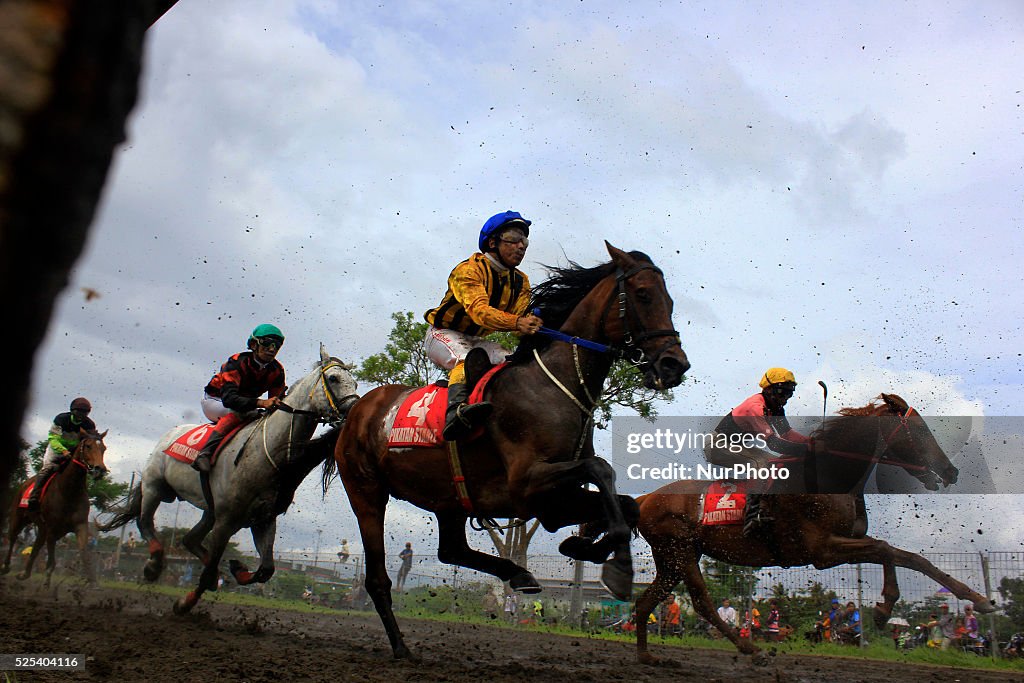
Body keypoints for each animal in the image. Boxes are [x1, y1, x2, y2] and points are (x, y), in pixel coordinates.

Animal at [1, 432, 108, 589]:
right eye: (88, 446)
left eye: (104, 448)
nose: (100, 469)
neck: (69, 491)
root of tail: (25, 484)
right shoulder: (52, 529)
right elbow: (51, 561)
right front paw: (46, 584)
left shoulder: (80, 525)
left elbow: (84, 553)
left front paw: (92, 580)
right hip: (18, 517)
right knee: (13, 538)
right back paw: (6, 567)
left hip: (42, 527)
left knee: (35, 547)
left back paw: (24, 574)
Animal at [99, 344, 356, 618]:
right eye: (333, 378)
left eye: (355, 382)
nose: (354, 409)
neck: (263, 453)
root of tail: (169, 435)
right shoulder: (226, 520)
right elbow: (211, 567)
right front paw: (185, 603)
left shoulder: (263, 518)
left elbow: (266, 570)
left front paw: (237, 568)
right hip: (155, 486)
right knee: (145, 521)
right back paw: (154, 565)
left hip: (209, 509)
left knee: (189, 539)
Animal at [331, 244, 692, 655]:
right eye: (644, 294)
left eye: (670, 301)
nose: (674, 365)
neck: (554, 387)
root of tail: (356, 410)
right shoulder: (527, 484)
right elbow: (601, 469)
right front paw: (617, 568)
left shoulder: (552, 502)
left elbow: (627, 505)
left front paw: (583, 545)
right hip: (367, 493)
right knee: (378, 578)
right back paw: (401, 647)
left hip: (449, 500)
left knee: (451, 551)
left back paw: (519, 574)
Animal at [626, 393, 995, 663]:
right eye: (918, 430)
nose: (950, 472)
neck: (830, 477)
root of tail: (645, 499)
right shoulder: (823, 550)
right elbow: (885, 549)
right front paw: (883, 608)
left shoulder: (846, 541)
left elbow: (911, 558)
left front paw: (978, 599)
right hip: (680, 550)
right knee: (701, 602)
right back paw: (752, 650)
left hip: (674, 558)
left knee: (647, 602)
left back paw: (647, 656)